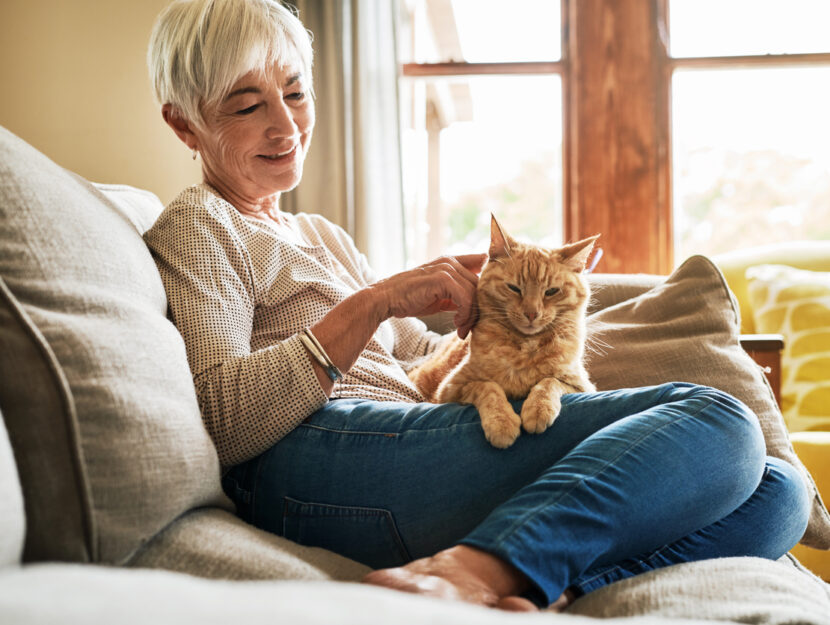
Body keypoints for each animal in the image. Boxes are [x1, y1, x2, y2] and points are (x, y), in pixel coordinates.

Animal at [410, 217, 600, 446]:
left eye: (552, 291)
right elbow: (488, 387)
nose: (531, 313)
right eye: (514, 288)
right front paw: (502, 423)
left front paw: (538, 409)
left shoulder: (581, 385)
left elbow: (550, 382)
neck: (525, 347)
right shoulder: (450, 390)